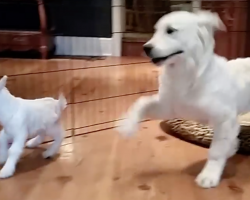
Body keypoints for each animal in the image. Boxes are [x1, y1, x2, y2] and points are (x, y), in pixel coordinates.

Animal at [115, 10, 250, 189]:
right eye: (156, 31)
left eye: (170, 31)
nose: (146, 48)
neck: (185, 73)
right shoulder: (168, 107)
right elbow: (142, 102)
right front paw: (127, 125)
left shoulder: (224, 118)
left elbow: (216, 150)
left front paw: (209, 175)